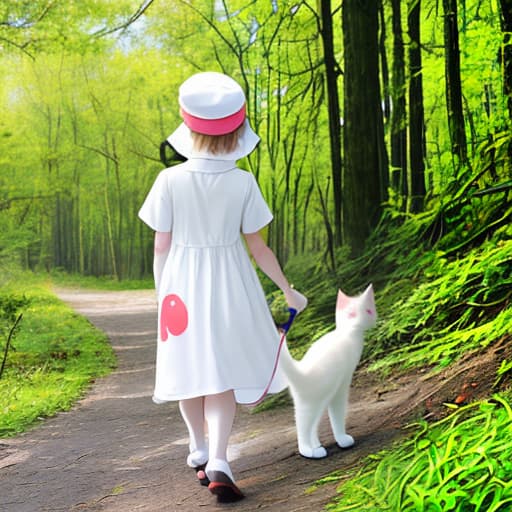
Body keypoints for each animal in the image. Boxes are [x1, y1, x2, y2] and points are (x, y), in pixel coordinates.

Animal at [278, 284, 378, 460]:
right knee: (303, 424)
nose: (356, 320)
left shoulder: (335, 389)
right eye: (351, 314)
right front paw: (342, 439)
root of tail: (301, 371)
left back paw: (316, 445)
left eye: (368, 311)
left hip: (318, 398)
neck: (348, 335)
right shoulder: (342, 385)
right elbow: (338, 413)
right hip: (312, 401)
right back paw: (308, 450)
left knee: (312, 423)